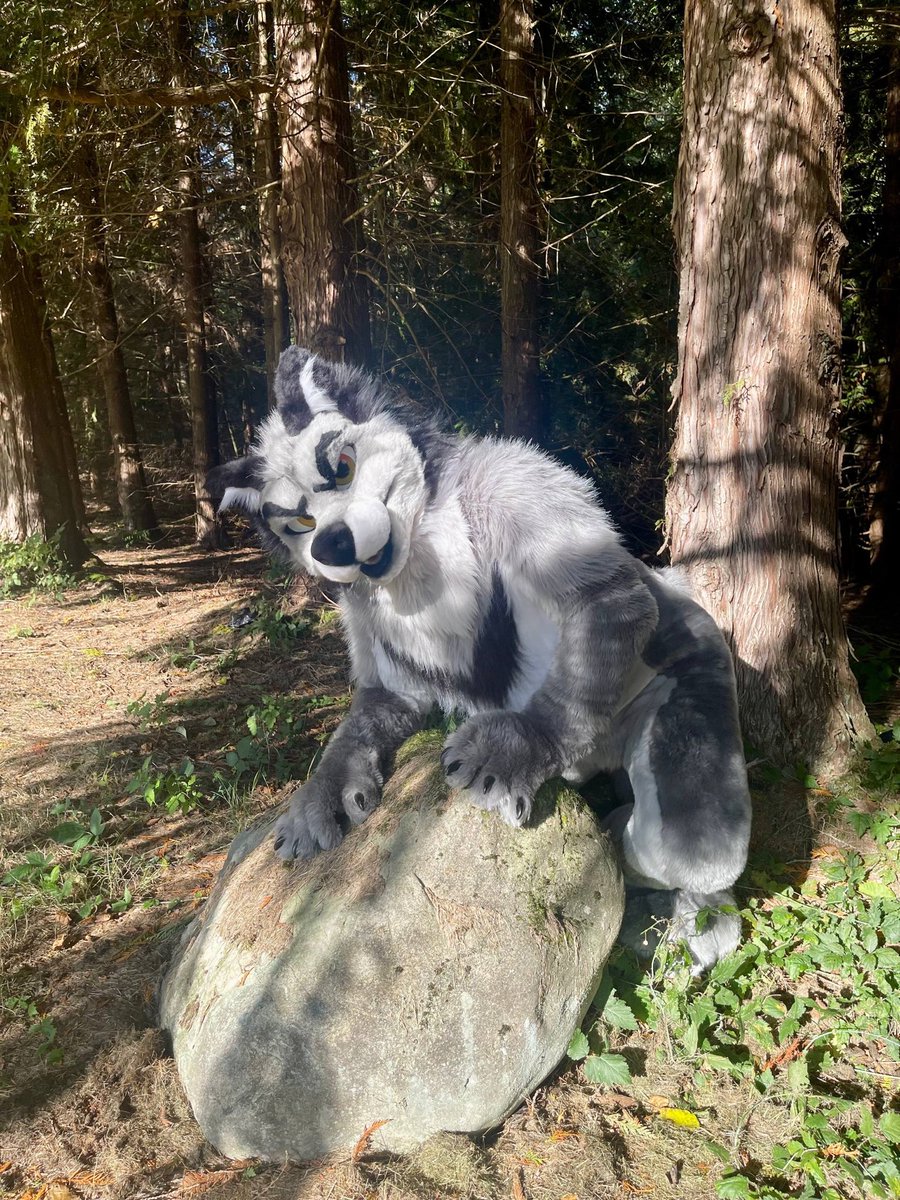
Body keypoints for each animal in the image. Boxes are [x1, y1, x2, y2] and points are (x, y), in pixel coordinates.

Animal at [211, 346, 751, 972]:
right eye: (299, 523)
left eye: (342, 467)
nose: (331, 545)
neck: (416, 542)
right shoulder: (367, 632)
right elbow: (372, 709)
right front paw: (321, 794)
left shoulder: (517, 484)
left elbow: (606, 599)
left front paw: (515, 746)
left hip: (685, 683)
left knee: (687, 849)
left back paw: (686, 913)